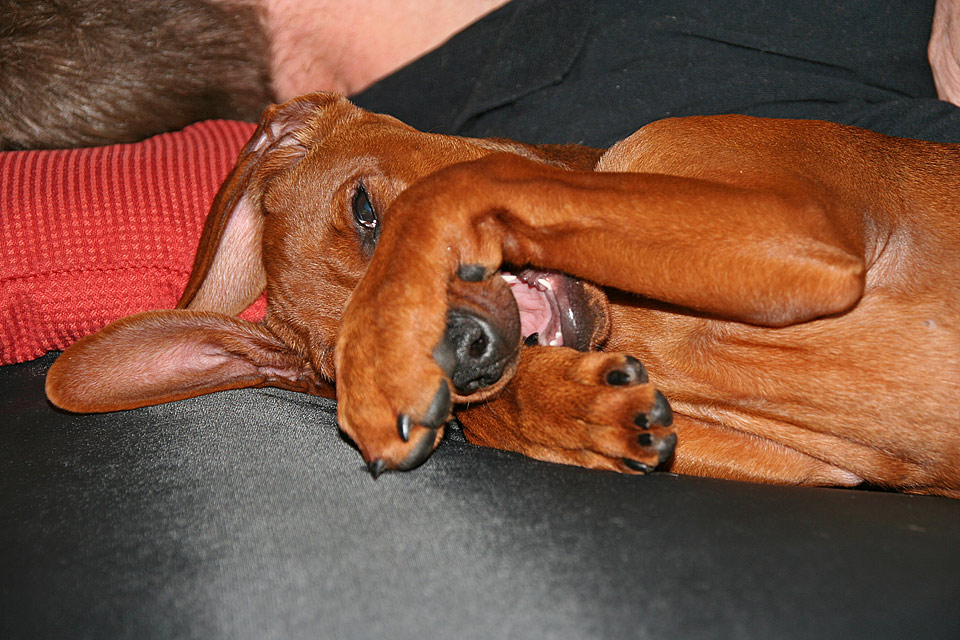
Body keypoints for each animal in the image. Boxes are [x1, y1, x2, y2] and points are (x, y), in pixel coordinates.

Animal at [46, 92, 960, 497]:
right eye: (332, 371)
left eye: (366, 212)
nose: (467, 357)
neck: (642, 323)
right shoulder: (811, 465)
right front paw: (575, 410)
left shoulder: (797, 224)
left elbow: (461, 184)